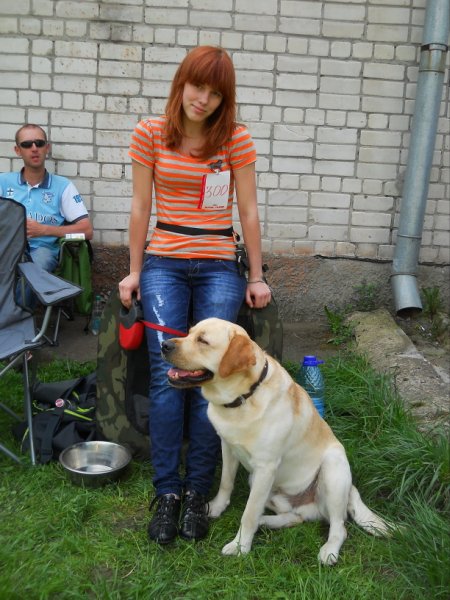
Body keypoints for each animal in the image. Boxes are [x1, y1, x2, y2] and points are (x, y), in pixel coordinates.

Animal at [161, 317, 389, 565]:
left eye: (203, 341)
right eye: (189, 332)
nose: (164, 345)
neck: (243, 398)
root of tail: (351, 488)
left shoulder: (266, 468)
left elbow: (249, 513)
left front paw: (240, 546)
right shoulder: (228, 447)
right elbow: (225, 483)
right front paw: (215, 507)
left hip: (332, 469)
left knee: (339, 527)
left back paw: (328, 551)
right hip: (261, 483)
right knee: (296, 517)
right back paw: (267, 522)